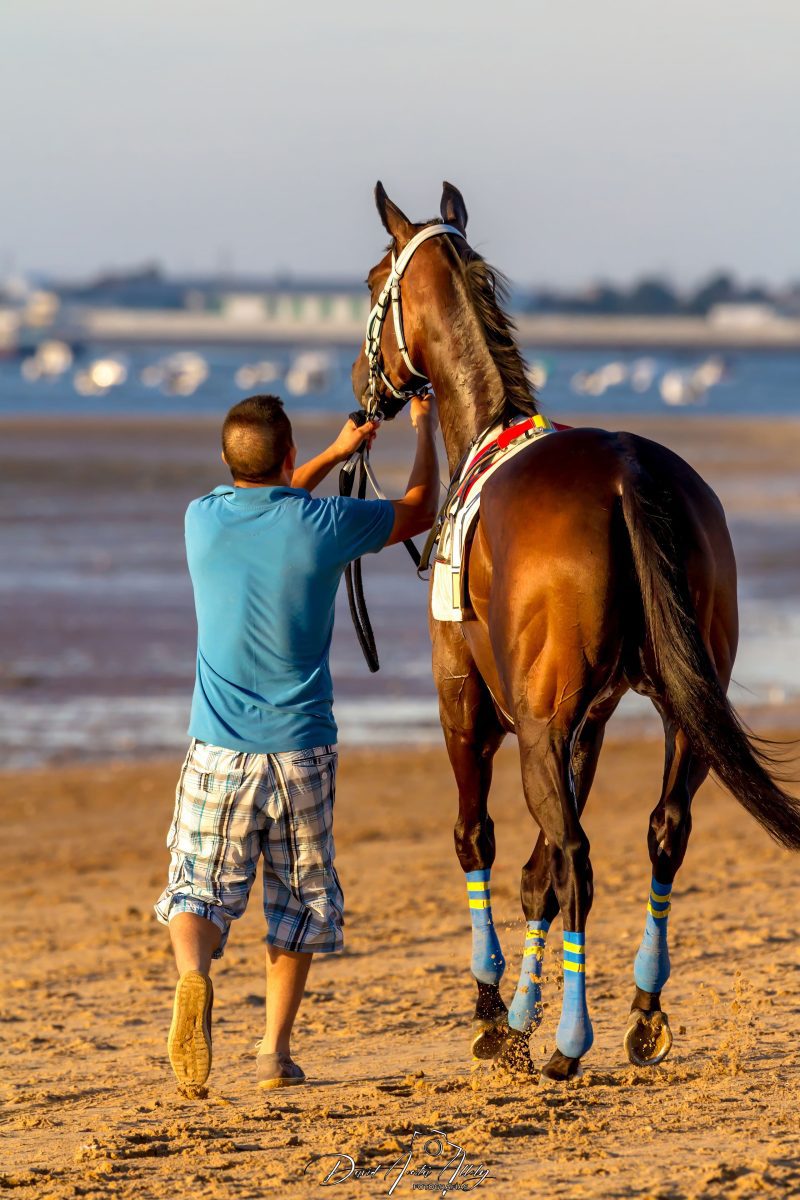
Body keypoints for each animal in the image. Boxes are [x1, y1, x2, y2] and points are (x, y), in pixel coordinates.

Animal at [351, 181, 800, 1082]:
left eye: (375, 280)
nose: (359, 380)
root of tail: (626, 472)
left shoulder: (472, 713)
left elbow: (482, 842)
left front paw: (497, 1012)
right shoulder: (584, 726)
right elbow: (538, 872)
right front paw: (522, 1009)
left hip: (534, 727)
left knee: (581, 858)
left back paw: (571, 1038)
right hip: (681, 717)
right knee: (659, 836)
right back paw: (642, 1012)